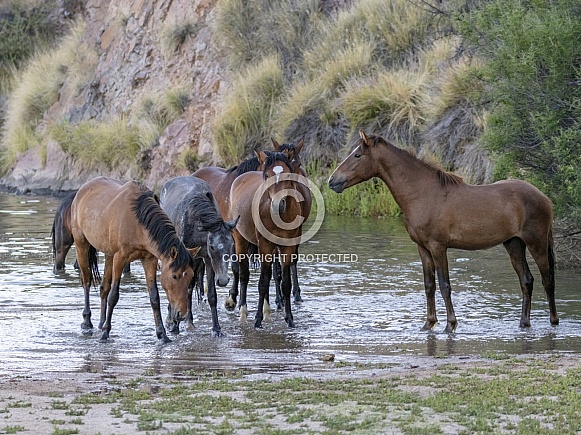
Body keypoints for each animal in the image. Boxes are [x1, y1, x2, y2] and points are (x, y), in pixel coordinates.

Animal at [69, 177, 197, 344]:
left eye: (191, 276)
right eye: (174, 276)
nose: (181, 314)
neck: (137, 222)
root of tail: (82, 189)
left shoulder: (149, 259)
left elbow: (154, 297)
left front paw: (162, 334)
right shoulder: (120, 258)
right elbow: (114, 296)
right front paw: (105, 333)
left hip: (108, 254)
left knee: (104, 287)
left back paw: (101, 322)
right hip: (81, 244)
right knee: (87, 280)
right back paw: (87, 322)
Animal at [159, 177, 238, 338]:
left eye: (232, 244)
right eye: (212, 246)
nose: (223, 280)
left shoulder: (207, 260)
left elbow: (211, 294)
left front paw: (216, 328)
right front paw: (175, 326)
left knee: (190, 288)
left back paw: (189, 320)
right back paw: (171, 320)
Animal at [326, 131, 556, 332]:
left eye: (357, 155)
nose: (332, 180)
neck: (423, 194)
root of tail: (544, 198)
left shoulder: (438, 247)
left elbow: (445, 285)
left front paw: (450, 325)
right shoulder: (423, 248)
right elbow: (429, 285)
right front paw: (428, 323)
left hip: (536, 243)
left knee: (547, 279)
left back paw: (554, 321)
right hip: (514, 244)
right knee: (526, 281)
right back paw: (524, 323)